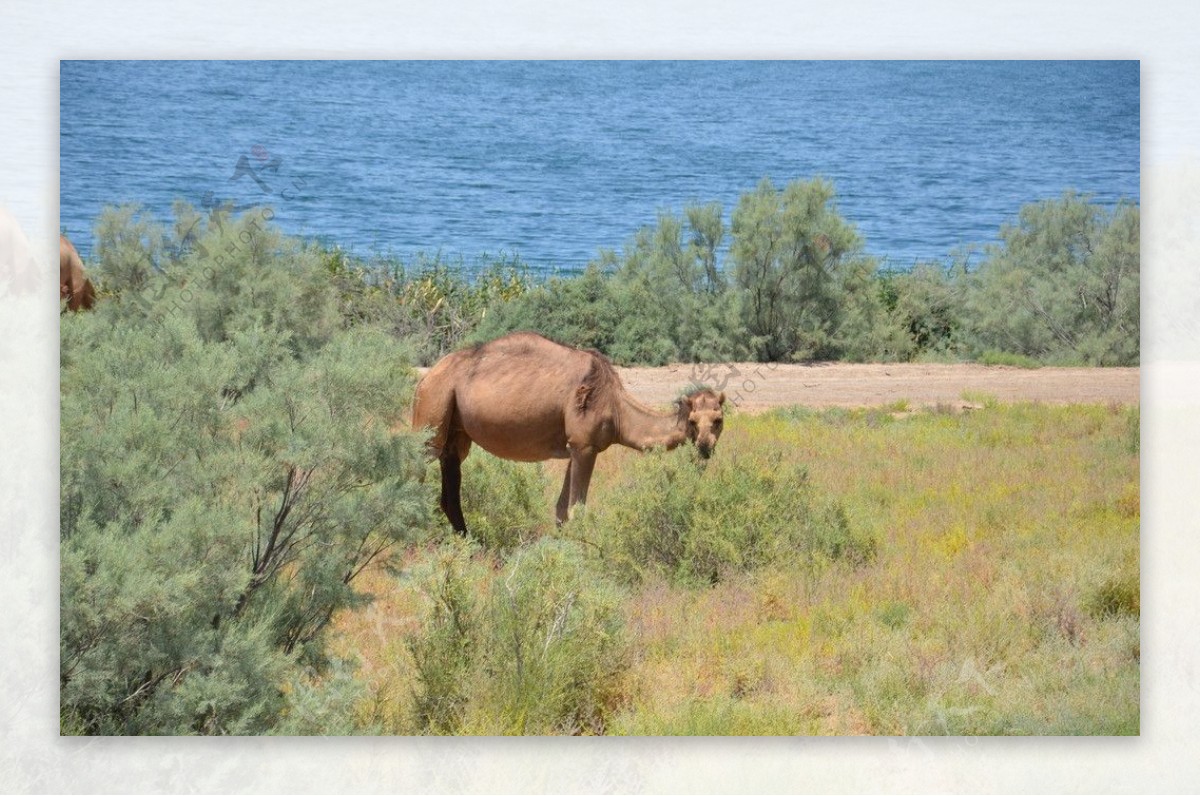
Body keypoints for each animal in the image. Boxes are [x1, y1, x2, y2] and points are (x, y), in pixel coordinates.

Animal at [412, 328, 724, 535]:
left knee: (450, 472)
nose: (704, 446)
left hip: (456, 427)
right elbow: (578, 509)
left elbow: (562, 509)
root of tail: (426, 377)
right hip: (434, 405)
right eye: (693, 420)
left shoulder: (577, 446)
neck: (616, 408)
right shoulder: (584, 446)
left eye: (718, 419)